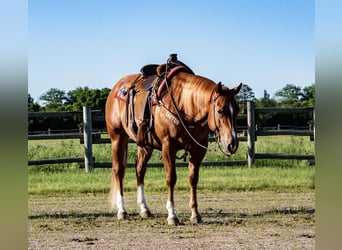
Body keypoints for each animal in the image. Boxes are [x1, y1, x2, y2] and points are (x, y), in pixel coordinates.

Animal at [105, 56, 242, 225]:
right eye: (220, 110)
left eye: (237, 110)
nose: (232, 144)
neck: (185, 106)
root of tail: (117, 88)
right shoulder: (168, 146)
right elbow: (171, 178)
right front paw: (172, 215)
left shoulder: (198, 149)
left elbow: (193, 179)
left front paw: (195, 214)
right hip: (118, 138)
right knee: (119, 171)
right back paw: (122, 211)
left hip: (144, 145)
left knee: (140, 170)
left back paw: (144, 209)